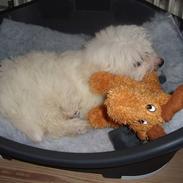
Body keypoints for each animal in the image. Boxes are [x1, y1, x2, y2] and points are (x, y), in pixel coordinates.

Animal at [0, 25, 164, 142]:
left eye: (149, 49)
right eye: (138, 63)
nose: (161, 62)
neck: (89, 67)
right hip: (40, 102)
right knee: (53, 126)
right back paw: (78, 126)